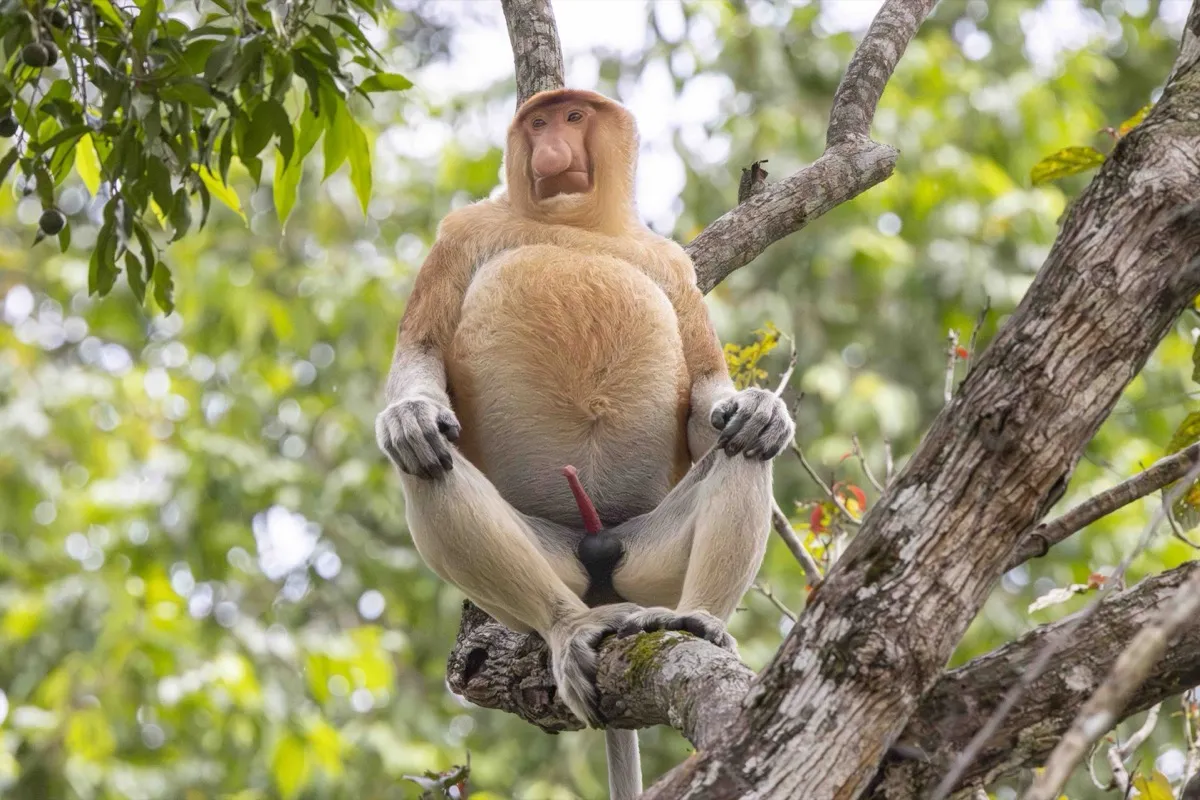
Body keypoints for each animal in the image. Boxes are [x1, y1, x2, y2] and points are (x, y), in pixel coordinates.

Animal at [375, 88, 794, 800]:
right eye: (539, 121)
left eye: (574, 118)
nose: (551, 151)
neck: (577, 225)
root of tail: (599, 562)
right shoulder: (459, 235)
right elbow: (421, 352)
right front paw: (409, 418)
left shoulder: (670, 265)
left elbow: (706, 395)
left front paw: (762, 408)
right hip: (558, 564)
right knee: (428, 467)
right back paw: (571, 630)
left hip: (650, 564)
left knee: (742, 448)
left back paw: (700, 620)